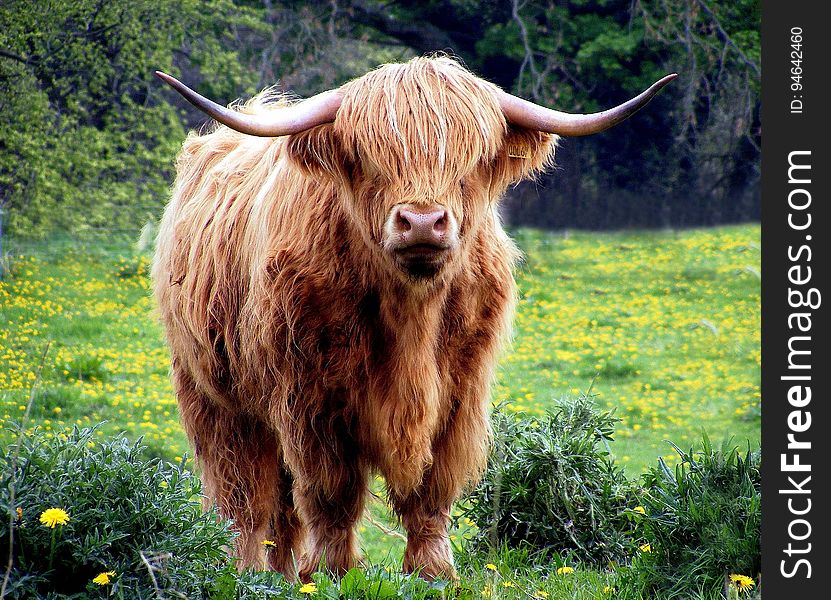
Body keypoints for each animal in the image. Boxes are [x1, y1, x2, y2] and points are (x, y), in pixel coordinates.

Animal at [153, 56, 676, 580]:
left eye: (469, 162)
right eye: (369, 159)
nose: (423, 222)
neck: (412, 318)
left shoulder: (459, 395)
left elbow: (432, 490)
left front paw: (433, 570)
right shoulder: (310, 399)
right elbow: (331, 491)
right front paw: (331, 572)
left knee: (279, 507)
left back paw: (280, 572)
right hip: (213, 396)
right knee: (243, 495)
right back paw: (243, 570)